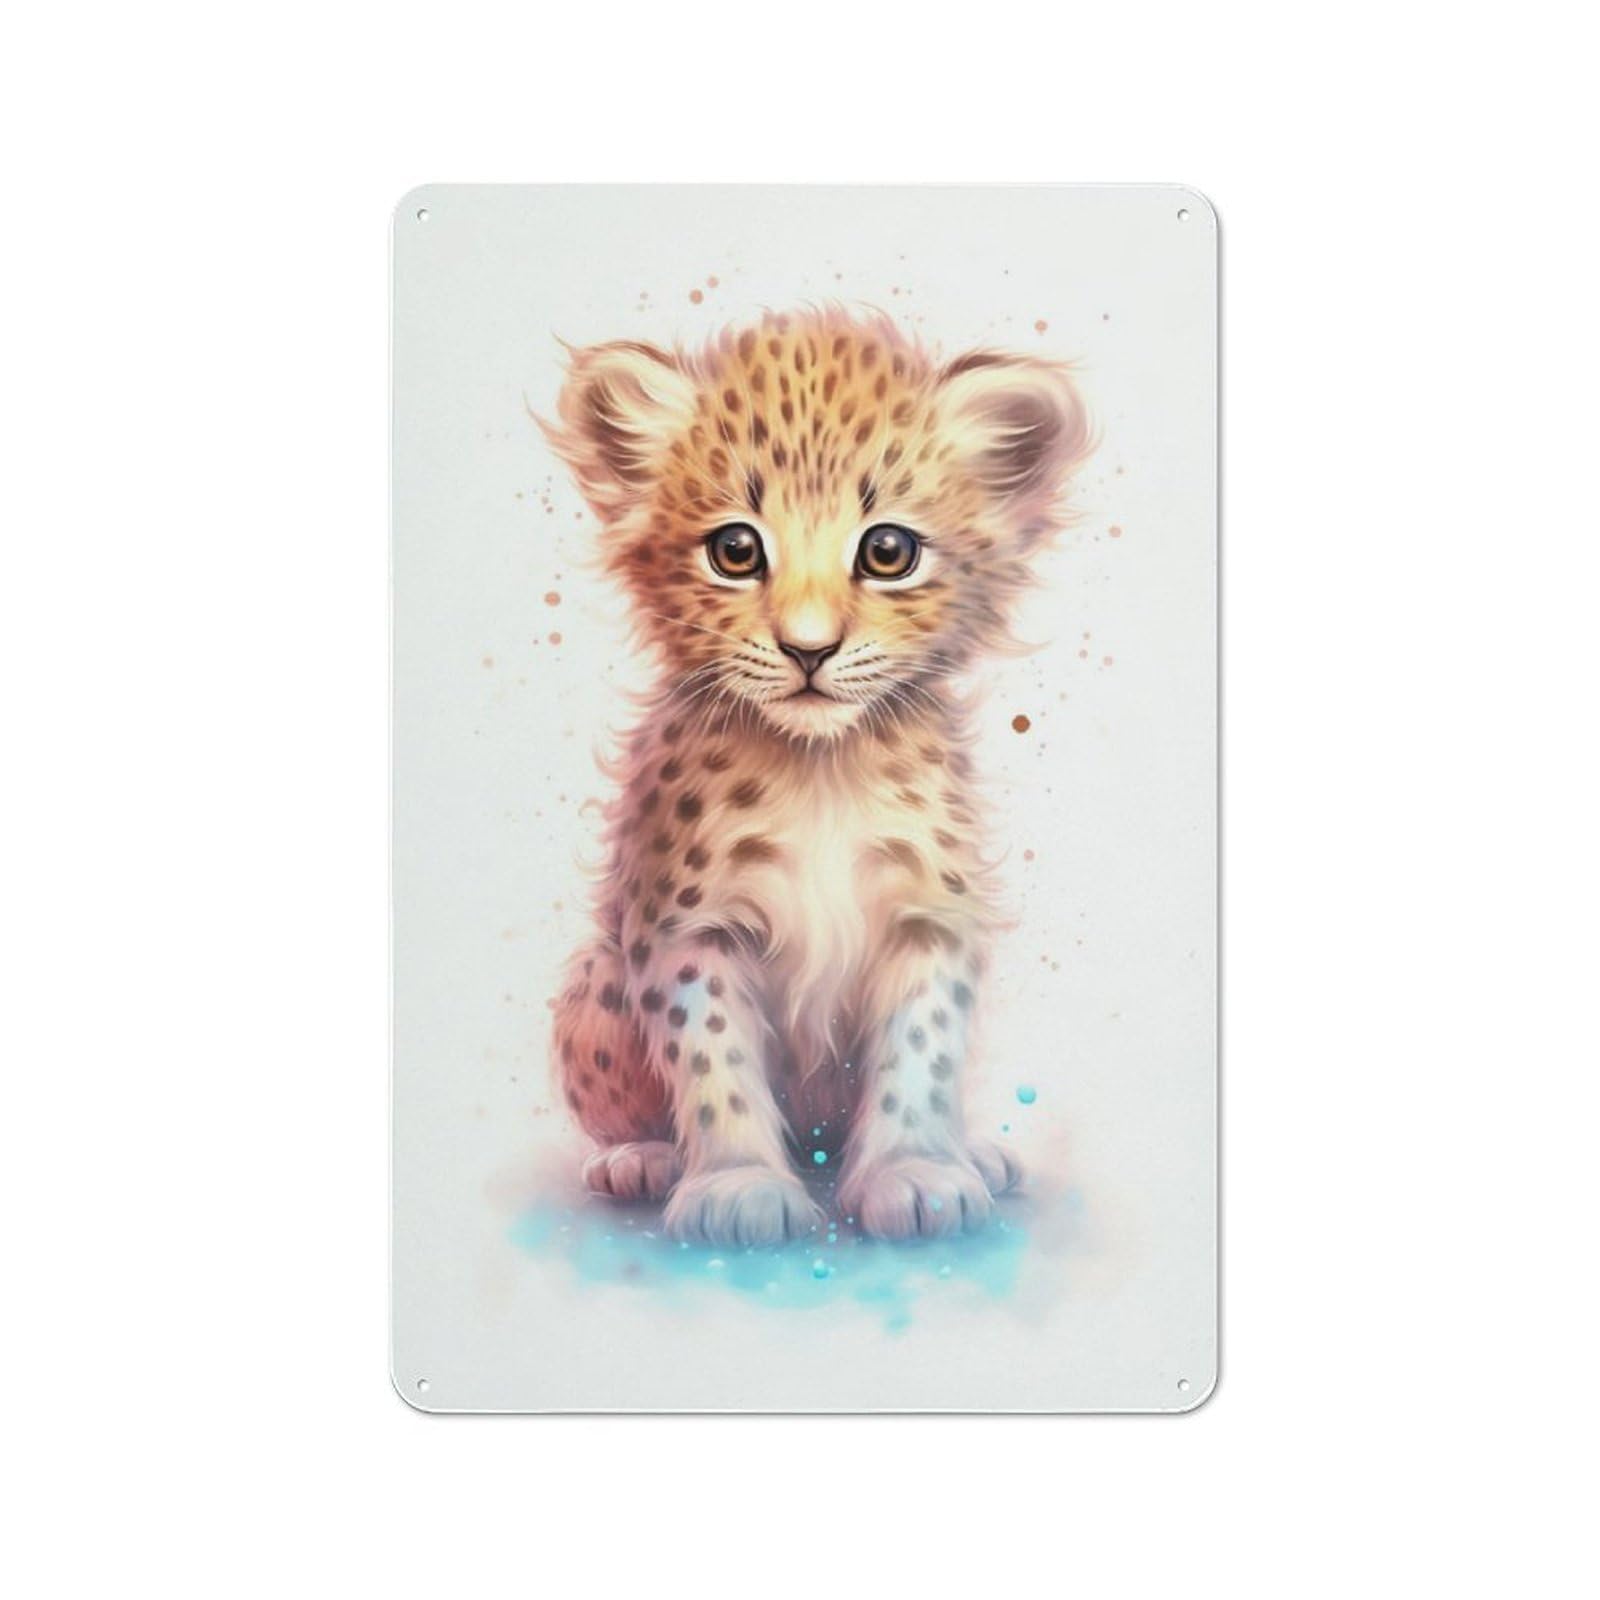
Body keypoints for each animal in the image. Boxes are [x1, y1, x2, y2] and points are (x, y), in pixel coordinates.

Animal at [542, 307, 1092, 1247]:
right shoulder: (691, 926)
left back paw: (973, 1153)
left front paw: (917, 1173)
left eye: (887, 551)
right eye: (734, 550)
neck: (821, 769)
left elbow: (922, 1051)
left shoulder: (928, 917)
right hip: (595, 986)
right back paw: (640, 1159)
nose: (808, 649)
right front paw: (737, 1187)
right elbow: (712, 1058)